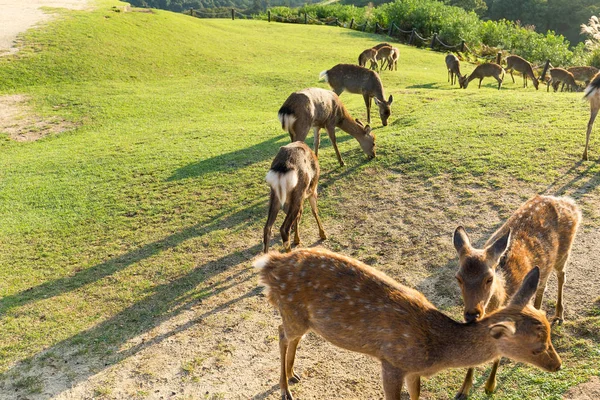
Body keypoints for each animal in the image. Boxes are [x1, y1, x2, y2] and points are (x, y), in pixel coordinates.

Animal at [256, 248, 564, 398]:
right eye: (537, 347)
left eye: (549, 334)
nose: (558, 365)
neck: (434, 351)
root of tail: (269, 265)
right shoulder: (392, 361)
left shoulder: (412, 370)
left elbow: (415, 396)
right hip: (291, 310)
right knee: (281, 333)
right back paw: (285, 390)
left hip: (303, 317)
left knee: (291, 336)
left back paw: (293, 374)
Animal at [452, 195, 580, 398]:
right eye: (458, 278)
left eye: (489, 278)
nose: (472, 314)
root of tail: (568, 202)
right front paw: (463, 390)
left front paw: (490, 386)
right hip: (545, 266)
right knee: (542, 284)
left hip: (564, 252)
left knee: (562, 276)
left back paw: (559, 315)